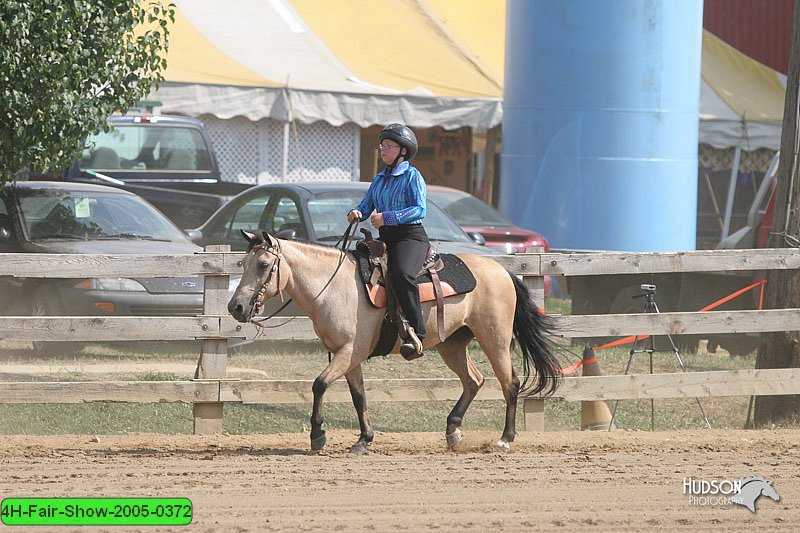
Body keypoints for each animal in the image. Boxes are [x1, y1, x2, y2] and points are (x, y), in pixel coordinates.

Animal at [228, 230, 560, 454]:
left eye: (262, 265)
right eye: (243, 262)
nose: (236, 307)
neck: (333, 286)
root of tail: (502, 270)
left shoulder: (350, 351)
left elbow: (319, 385)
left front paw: (317, 436)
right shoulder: (346, 356)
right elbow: (358, 397)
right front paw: (363, 440)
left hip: (495, 338)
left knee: (509, 383)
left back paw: (504, 439)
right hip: (452, 345)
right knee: (473, 380)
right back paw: (453, 431)